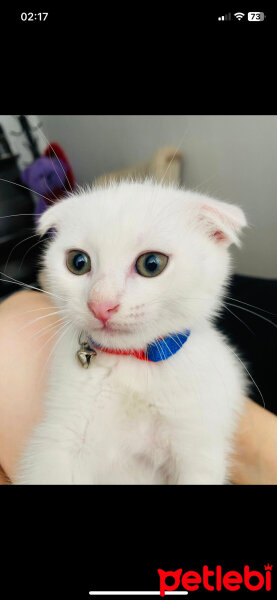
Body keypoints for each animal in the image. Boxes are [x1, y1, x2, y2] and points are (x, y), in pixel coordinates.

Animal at [15, 180, 247, 486]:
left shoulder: (198, 443)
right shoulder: (61, 441)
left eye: (152, 263)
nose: (101, 304)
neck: (133, 365)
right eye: (78, 262)